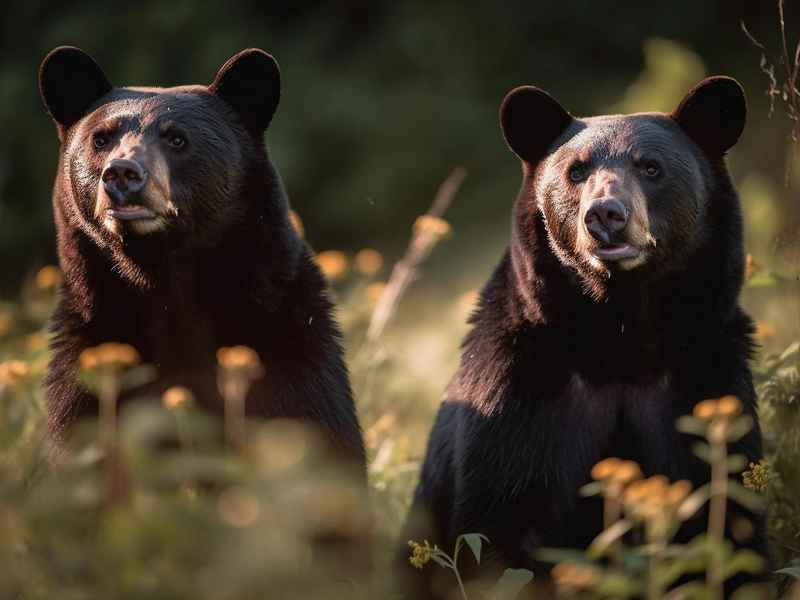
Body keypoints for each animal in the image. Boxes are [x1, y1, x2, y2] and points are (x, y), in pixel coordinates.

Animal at [38, 46, 366, 470]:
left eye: (177, 139)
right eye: (101, 139)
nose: (122, 174)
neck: (165, 279)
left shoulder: (288, 345)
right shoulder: (90, 358)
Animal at [399, 77, 765, 598]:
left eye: (651, 167)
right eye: (576, 171)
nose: (605, 215)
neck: (618, 341)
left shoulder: (704, 381)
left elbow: (727, 519)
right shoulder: (518, 402)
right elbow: (497, 531)